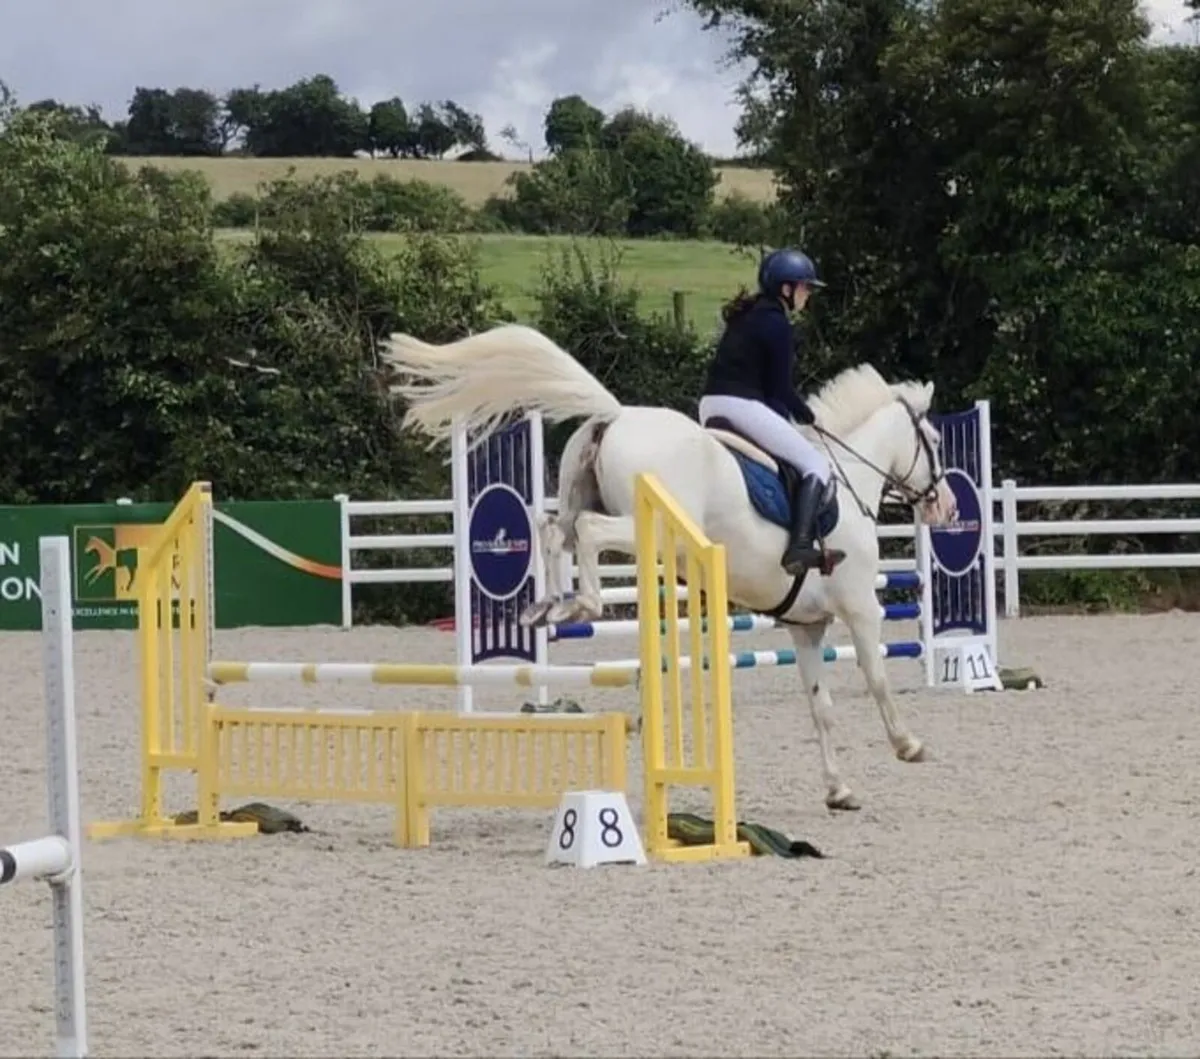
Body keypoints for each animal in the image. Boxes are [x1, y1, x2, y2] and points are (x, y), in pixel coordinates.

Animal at [379, 323, 958, 811]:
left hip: (586, 499)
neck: (851, 476)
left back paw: (549, 606)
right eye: (935, 441)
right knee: (586, 532)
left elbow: (822, 708)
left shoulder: (807, 627)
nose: (947, 507)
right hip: (646, 528)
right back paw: (581, 603)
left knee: (554, 528)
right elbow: (877, 680)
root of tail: (616, 415)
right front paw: (909, 745)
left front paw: (839, 790)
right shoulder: (861, 607)